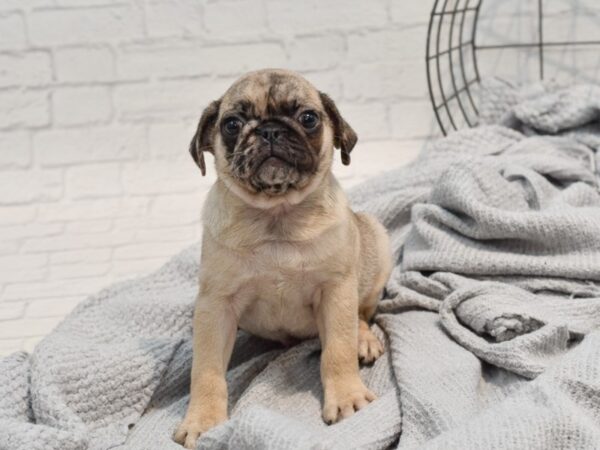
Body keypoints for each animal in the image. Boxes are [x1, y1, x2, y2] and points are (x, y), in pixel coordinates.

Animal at [173, 68, 394, 448]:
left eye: (308, 119)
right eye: (231, 124)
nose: (270, 130)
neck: (277, 216)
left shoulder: (336, 291)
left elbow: (337, 349)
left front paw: (346, 397)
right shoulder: (215, 306)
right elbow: (206, 371)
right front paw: (204, 420)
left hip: (375, 249)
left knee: (363, 315)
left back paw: (364, 340)